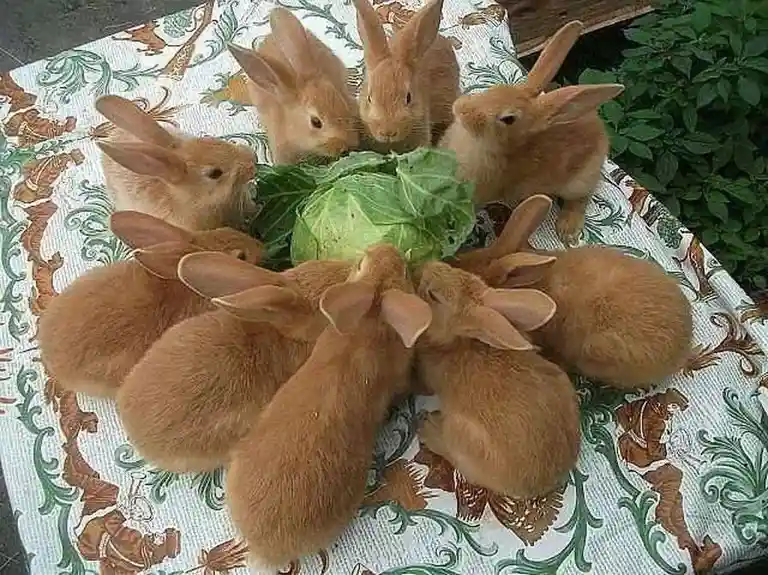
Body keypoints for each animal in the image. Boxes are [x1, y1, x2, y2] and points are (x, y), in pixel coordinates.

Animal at [414, 260, 580, 497]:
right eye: (460, 270)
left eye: (433, 296)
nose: (423, 267)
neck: (459, 342)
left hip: (462, 437)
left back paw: (429, 429)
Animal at [438, 20, 624, 244]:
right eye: (494, 89)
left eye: (508, 119)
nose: (461, 108)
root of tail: (601, 131)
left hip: (580, 179)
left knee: (581, 198)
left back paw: (567, 230)